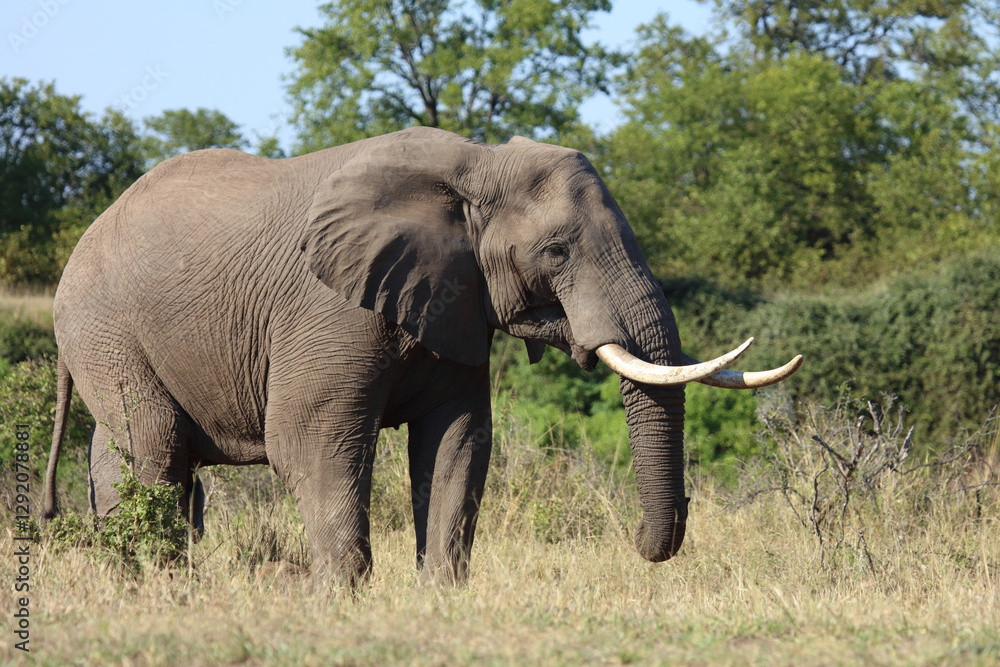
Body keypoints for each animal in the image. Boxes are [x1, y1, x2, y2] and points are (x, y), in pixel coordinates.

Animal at [43, 127, 801, 583]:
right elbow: (311, 441)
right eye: (557, 251)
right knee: (156, 451)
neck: (475, 164)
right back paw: (159, 582)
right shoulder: (329, 307)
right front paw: (342, 602)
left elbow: (457, 440)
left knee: (131, 455)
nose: (647, 546)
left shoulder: (456, 301)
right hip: (104, 325)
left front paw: (441, 592)